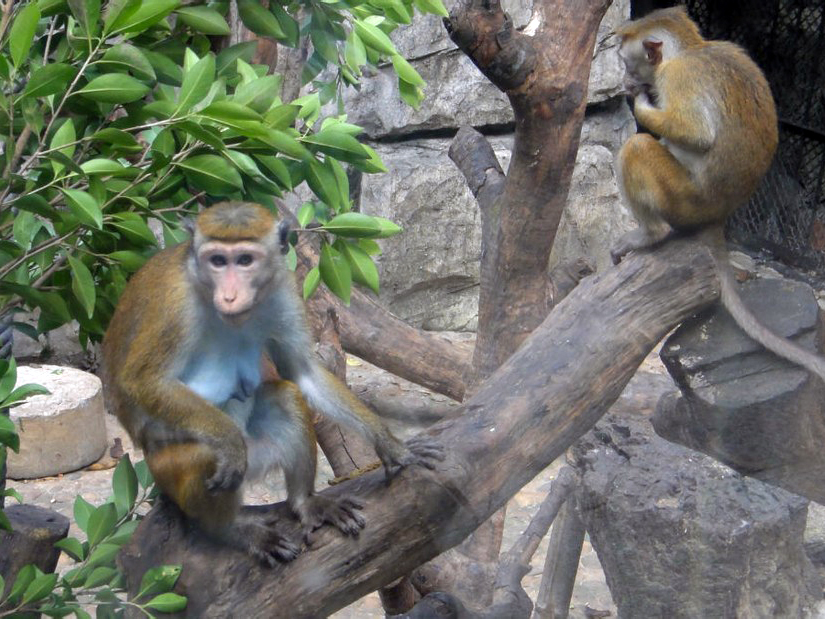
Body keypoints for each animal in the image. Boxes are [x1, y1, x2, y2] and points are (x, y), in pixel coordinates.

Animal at [101, 201, 444, 565]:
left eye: (245, 260)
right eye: (217, 261)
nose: (230, 295)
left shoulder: (283, 291)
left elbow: (301, 372)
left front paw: (391, 445)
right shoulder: (176, 306)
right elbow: (143, 382)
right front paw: (229, 442)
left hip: (259, 453)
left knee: (287, 399)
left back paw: (304, 502)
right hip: (168, 469)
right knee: (209, 456)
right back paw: (231, 529)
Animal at [611, 6, 825, 382]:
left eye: (626, 62)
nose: (624, 77)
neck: (690, 50)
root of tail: (718, 215)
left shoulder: (678, 77)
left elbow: (696, 134)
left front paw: (640, 101)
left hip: (682, 199)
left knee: (638, 147)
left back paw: (651, 234)